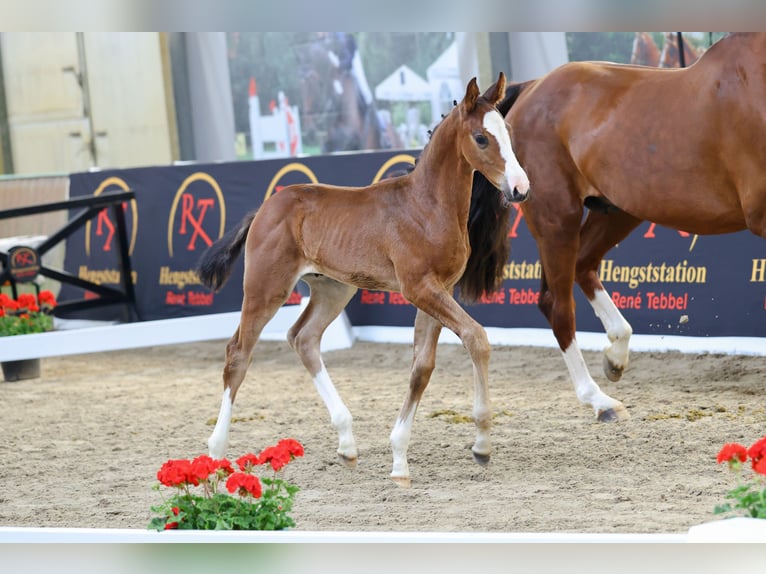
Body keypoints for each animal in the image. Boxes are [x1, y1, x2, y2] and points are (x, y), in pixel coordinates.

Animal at [197, 73, 530, 487]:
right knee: (238, 353)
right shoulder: (419, 288)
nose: (520, 188)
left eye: (509, 132)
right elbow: (476, 338)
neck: (425, 207)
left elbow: (422, 367)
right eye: (481, 138)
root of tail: (263, 208)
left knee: (303, 338)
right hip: (265, 288)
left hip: (333, 288)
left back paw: (347, 443)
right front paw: (481, 444)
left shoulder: (439, 290)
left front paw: (399, 459)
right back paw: (216, 451)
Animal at [471, 32, 766, 423]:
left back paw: (616, 354)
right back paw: (600, 401)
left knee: (583, 265)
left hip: (617, 211)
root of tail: (531, 87)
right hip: (557, 217)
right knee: (557, 305)